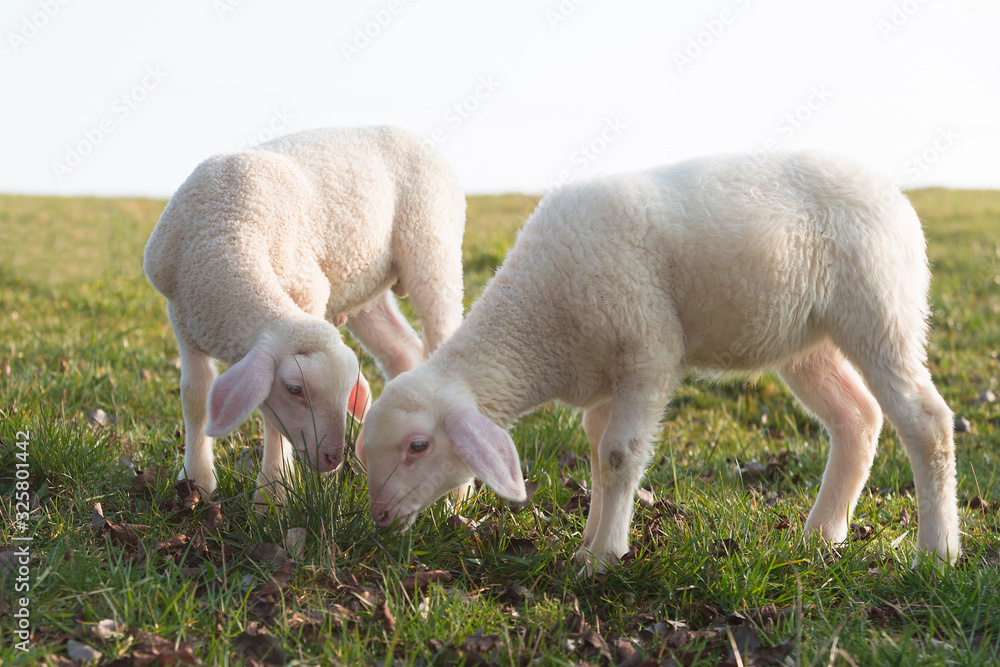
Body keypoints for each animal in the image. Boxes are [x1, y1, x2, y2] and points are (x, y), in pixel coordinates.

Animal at [143, 125, 465, 504]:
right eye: (295, 389)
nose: (333, 458)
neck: (225, 232)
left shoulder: (307, 292)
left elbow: (271, 423)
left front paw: (273, 495)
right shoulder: (183, 318)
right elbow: (195, 398)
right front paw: (197, 482)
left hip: (433, 249)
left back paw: (458, 496)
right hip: (364, 285)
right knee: (402, 353)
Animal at [357, 150, 960, 571]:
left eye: (417, 446)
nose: (379, 516)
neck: (540, 327)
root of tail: (893, 193)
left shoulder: (647, 353)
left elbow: (620, 455)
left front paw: (604, 557)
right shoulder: (604, 379)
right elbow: (597, 455)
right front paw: (588, 541)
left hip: (880, 306)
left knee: (925, 420)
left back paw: (937, 552)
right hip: (808, 343)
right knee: (857, 418)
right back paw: (822, 535)